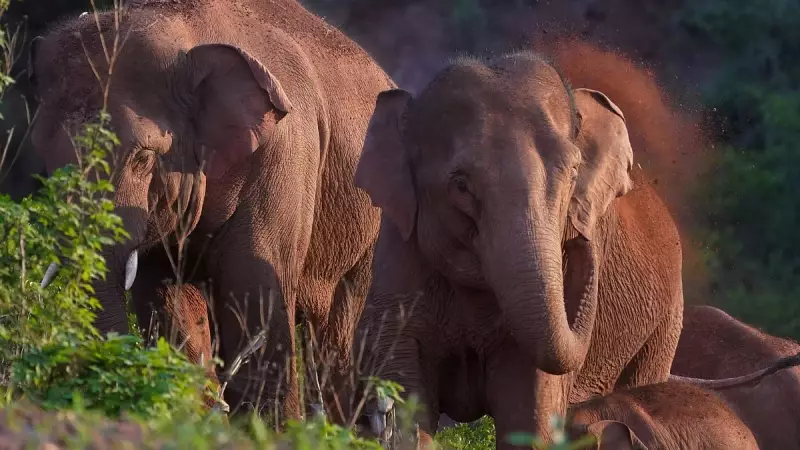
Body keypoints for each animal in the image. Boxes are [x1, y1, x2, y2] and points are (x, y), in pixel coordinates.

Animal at [29, 0, 393, 422]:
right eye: (45, 157)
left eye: (141, 158)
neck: (183, 30)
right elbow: (166, 300)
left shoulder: (282, 158)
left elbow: (254, 294)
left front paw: (273, 428)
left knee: (342, 332)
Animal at [351, 52, 685, 449]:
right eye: (461, 185)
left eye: (574, 173)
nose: (582, 237)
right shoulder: (399, 257)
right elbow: (405, 395)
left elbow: (529, 409)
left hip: (665, 324)